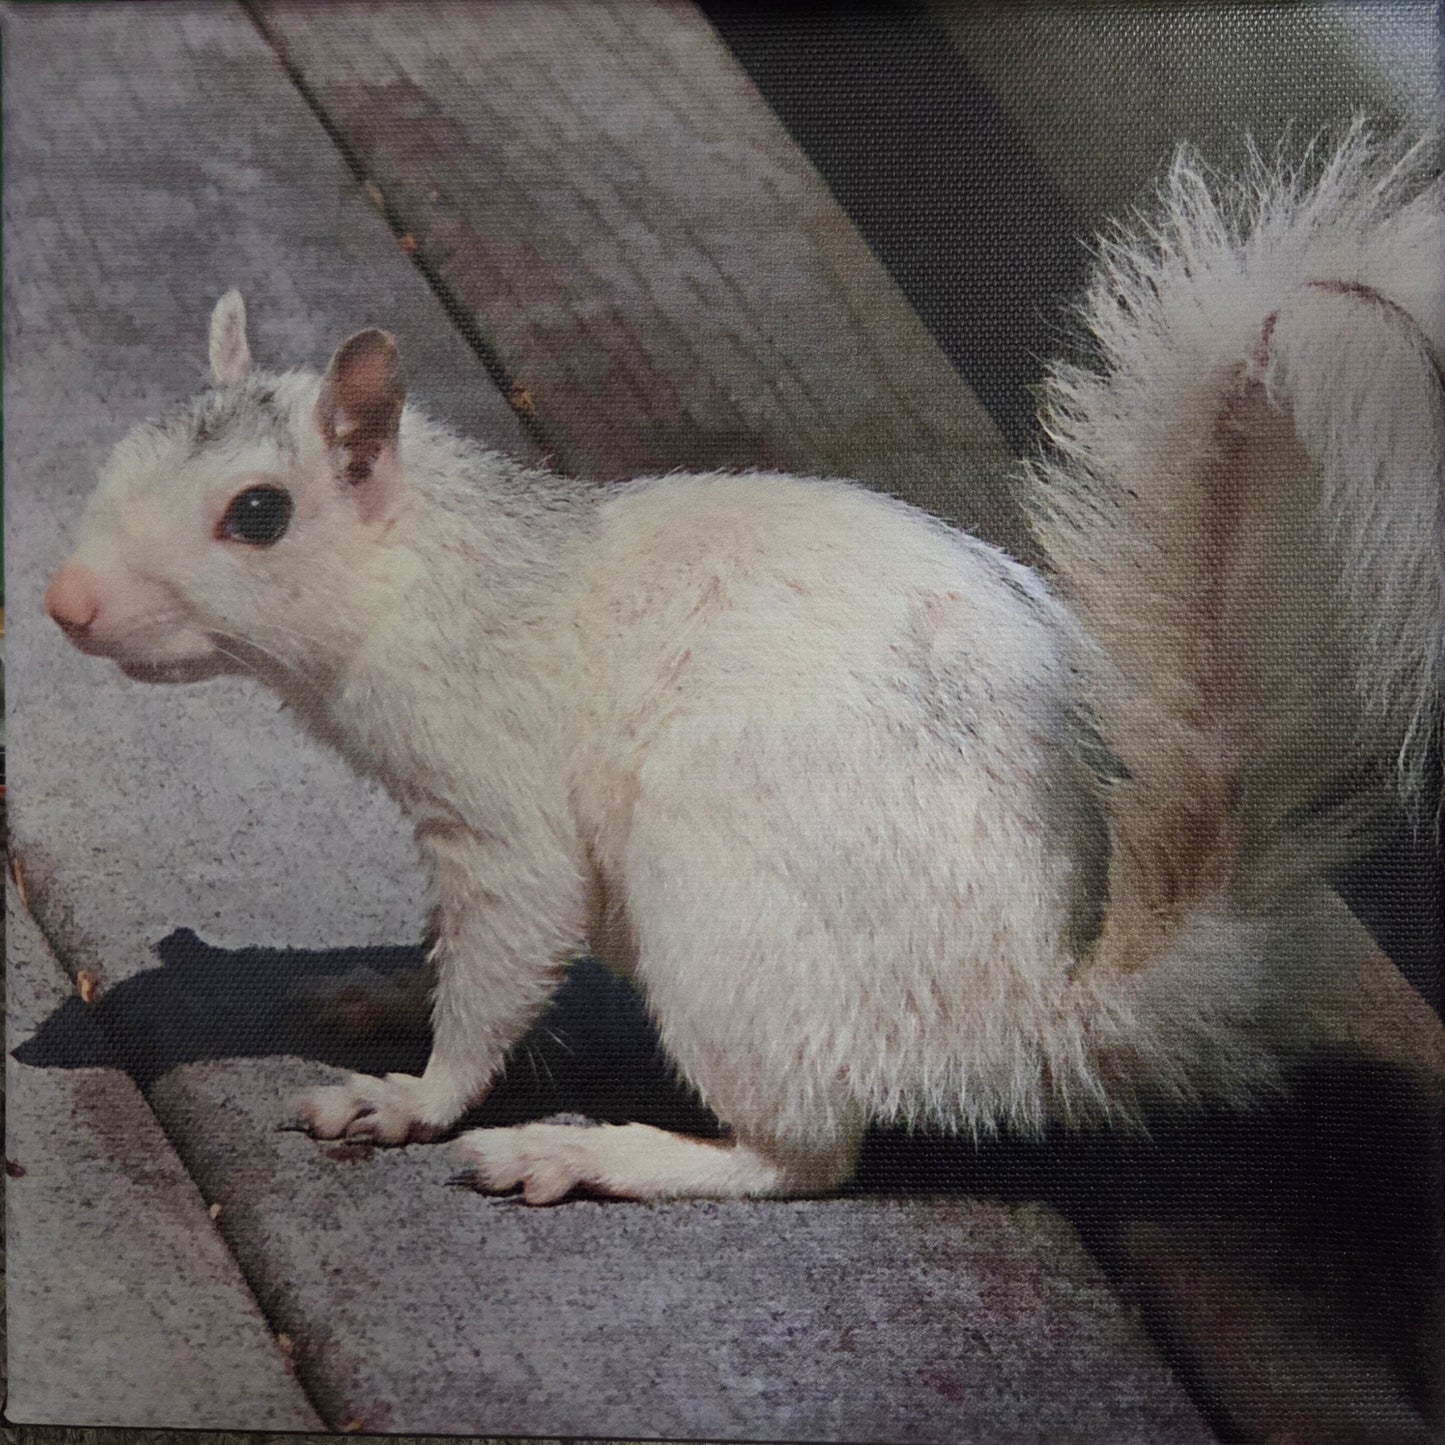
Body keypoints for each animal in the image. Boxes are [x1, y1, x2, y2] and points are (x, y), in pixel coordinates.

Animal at [45, 125, 1443, 1204]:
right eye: (124, 449)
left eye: (259, 514)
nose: (64, 602)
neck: (430, 571)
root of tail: (1040, 1007)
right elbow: (450, 946)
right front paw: (390, 989)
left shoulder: (497, 799)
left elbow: (508, 948)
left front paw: (411, 1095)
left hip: (725, 892)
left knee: (802, 1155)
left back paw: (595, 1154)